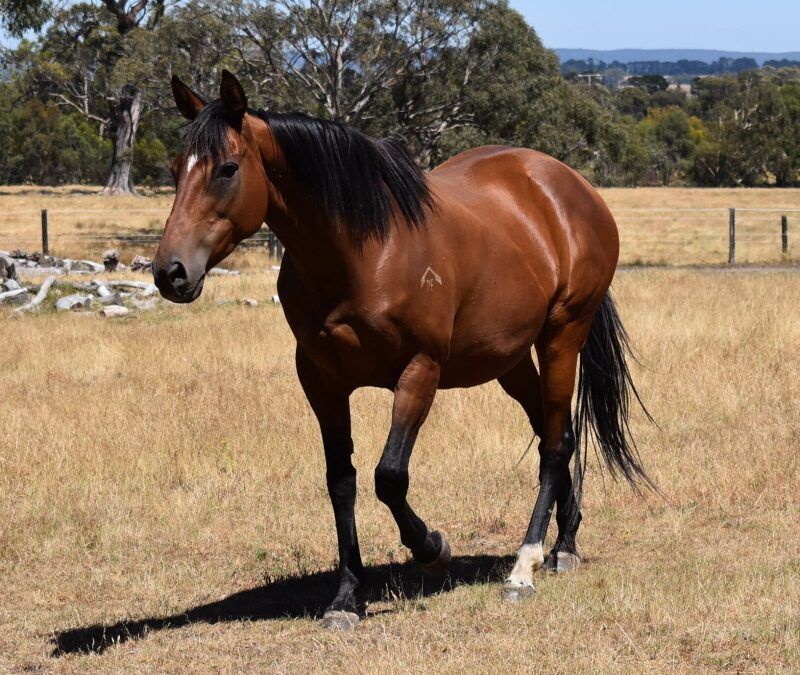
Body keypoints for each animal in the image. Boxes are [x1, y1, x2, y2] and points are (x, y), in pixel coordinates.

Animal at [152, 71, 648, 632]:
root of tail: (572, 186)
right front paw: (347, 597)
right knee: (554, 431)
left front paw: (432, 548)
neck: (362, 251)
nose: (170, 272)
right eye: (175, 169)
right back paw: (564, 542)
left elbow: (389, 476)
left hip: (564, 335)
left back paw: (525, 565)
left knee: (556, 445)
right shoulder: (320, 380)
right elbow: (341, 482)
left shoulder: (419, 372)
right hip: (512, 360)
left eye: (228, 169)